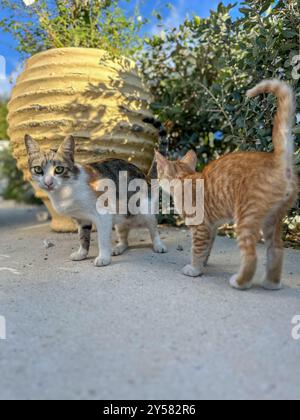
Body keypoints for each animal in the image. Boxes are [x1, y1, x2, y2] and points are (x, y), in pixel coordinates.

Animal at [24, 135, 168, 266]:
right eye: (38, 169)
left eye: (59, 169)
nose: (48, 182)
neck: (66, 189)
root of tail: (145, 176)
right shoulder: (81, 218)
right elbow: (83, 236)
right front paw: (82, 253)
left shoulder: (104, 216)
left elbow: (102, 239)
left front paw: (103, 258)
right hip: (120, 219)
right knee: (124, 237)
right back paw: (119, 247)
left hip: (146, 211)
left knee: (154, 230)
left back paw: (158, 246)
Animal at [155, 79, 298, 288]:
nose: (156, 180)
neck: (185, 179)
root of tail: (277, 159)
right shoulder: (212, 227)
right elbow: (206, 248)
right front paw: (203, 264)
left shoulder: (201, 227)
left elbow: (197, 249)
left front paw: (194, 269)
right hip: (273, 219)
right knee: (277, 249)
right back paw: (271, 283)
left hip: (245, 218)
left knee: (251, 255)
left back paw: (240, 282)